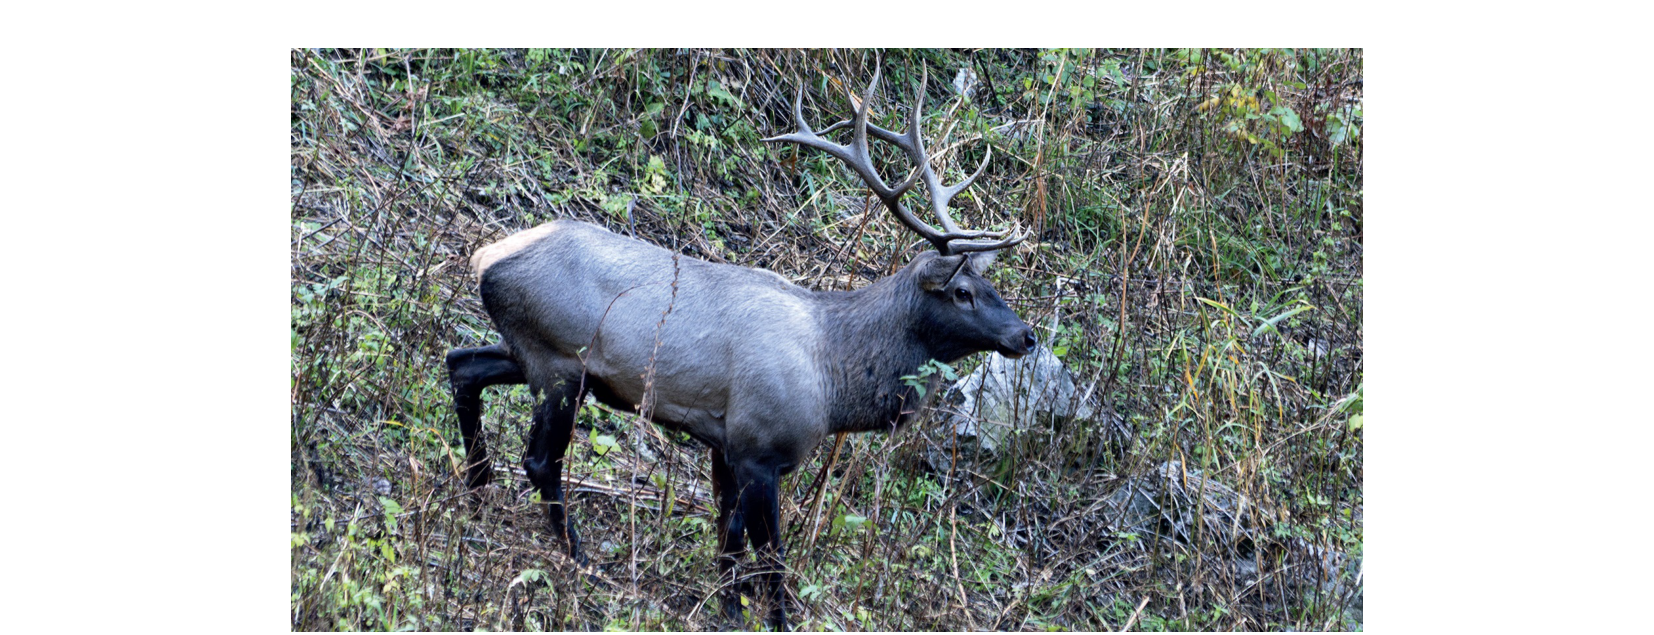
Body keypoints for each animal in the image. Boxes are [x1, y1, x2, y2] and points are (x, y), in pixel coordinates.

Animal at [445, 67, 1036, 630]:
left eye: (992, 285)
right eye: (963, 292)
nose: (1025, 336)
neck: (833, 381)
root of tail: (486, 256)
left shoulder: (724, 443)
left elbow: (727, 540)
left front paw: (727, 609)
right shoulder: (759, 447)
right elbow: (770, 557)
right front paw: (775, 620)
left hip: (530, 352)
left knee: (461, 364)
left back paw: (476, 490)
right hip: (561, 363)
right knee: (539, 458)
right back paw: (577, 554)